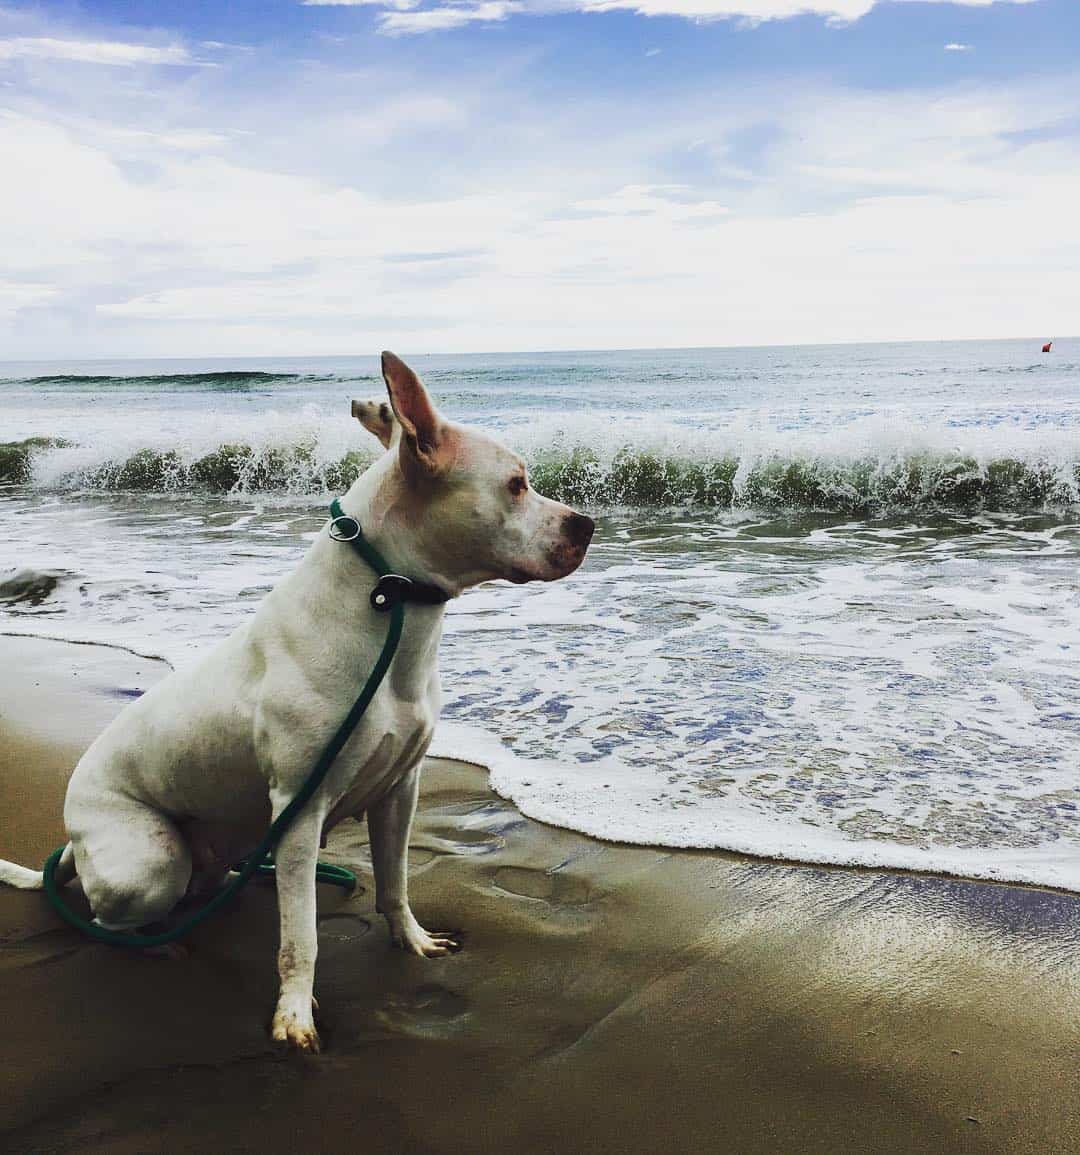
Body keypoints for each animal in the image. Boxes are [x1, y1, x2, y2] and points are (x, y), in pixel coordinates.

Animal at [0, 351, 596, 1048]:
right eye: (516, 484)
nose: (587, 524)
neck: (389, 606)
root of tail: (74, 836)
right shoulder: (300, 810)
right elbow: (301, 936)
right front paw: (294, 1013)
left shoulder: (401, 791)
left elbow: (395, 882)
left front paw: (412, 940)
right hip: (149, 861)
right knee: (107, 917)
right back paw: (157, 943)